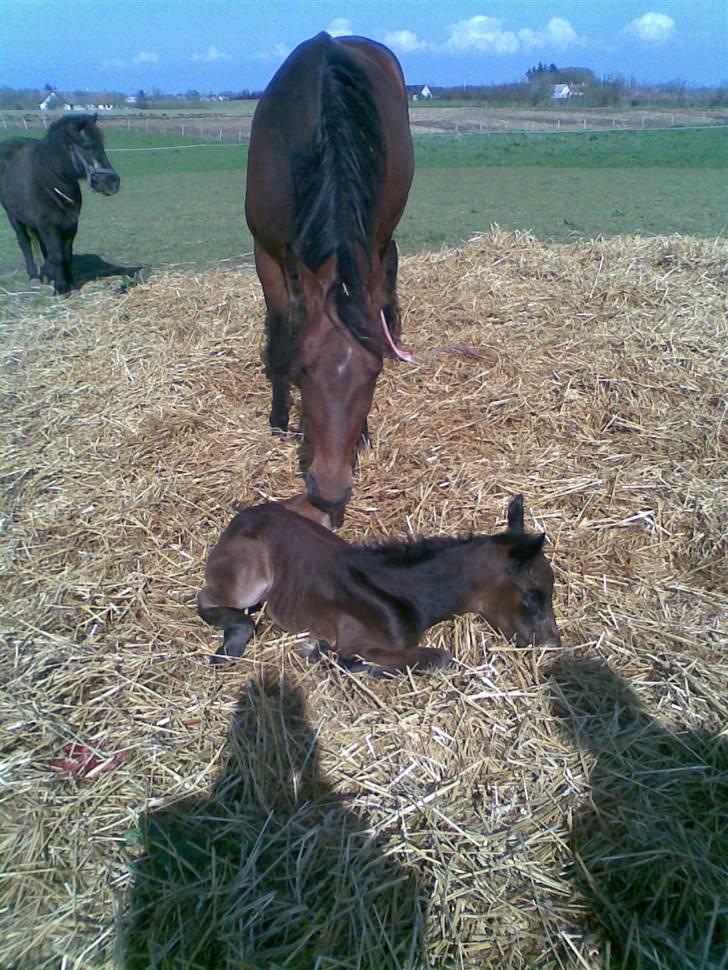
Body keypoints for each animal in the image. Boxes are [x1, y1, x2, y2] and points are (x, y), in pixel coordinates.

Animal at [0, 111, 119, 290]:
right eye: (86, 145)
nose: (113, 183)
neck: (50, 181)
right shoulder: (48, 226)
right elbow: (57, 255)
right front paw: (61, 287)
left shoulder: (69, 224)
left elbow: (65, 254)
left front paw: (69, 282)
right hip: (14, 218)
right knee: (24, 242)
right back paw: (34, 275)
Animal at [196, 492, 560, 672]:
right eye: (533, 596)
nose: (552, 646)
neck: (408, 593)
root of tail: (242, 516)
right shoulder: (357, 642)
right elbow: (439, 658)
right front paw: (320, 653)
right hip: (251, 581)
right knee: (209, 599)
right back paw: (229, 647)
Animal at [246, 34, 412, 510]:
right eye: (303, 370)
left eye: (374, 373)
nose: (330, 489)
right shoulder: (266, 251)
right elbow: (282, 328)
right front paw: (279, 417)